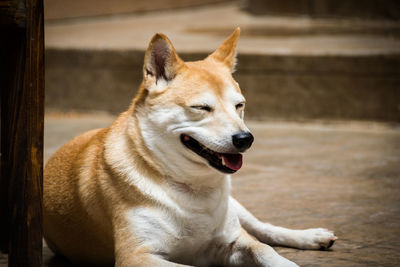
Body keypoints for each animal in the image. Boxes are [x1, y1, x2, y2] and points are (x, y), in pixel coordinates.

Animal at [43, 28, 338, 266]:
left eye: (239, 105)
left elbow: (265, 249)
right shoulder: (136, 256)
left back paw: (311, 236)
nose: (245, 139)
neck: (191, 188)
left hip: (236, 207)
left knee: (262, 228)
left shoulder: (234, 240)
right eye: (201, 108)